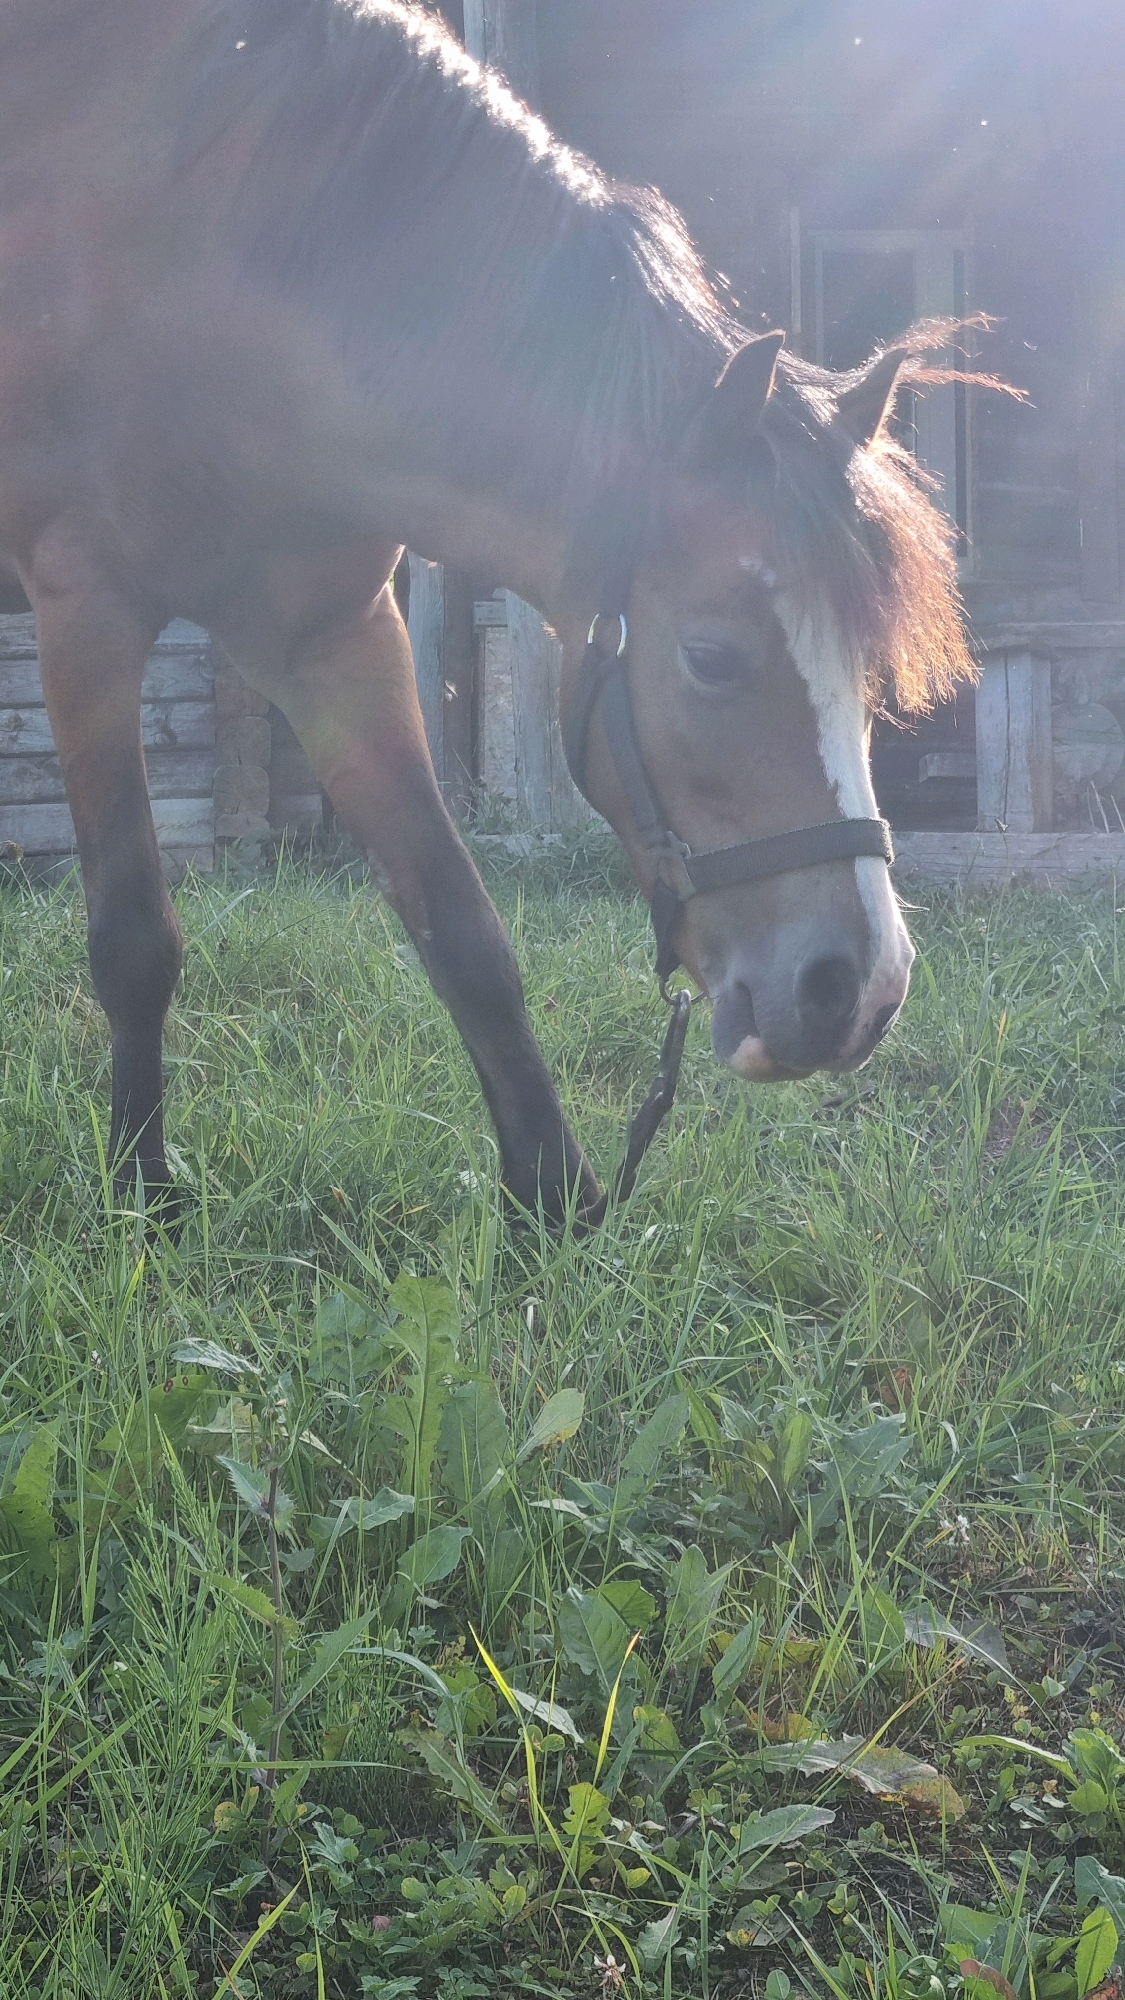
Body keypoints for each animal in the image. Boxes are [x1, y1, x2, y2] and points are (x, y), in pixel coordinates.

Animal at [0, 0, 973, 1224]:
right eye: (709, 656)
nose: (860, 991)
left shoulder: (332, 637)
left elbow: (463, 929)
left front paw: (555, 1199)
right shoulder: (86, 614)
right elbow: (134, 937)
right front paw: (144, 1195)